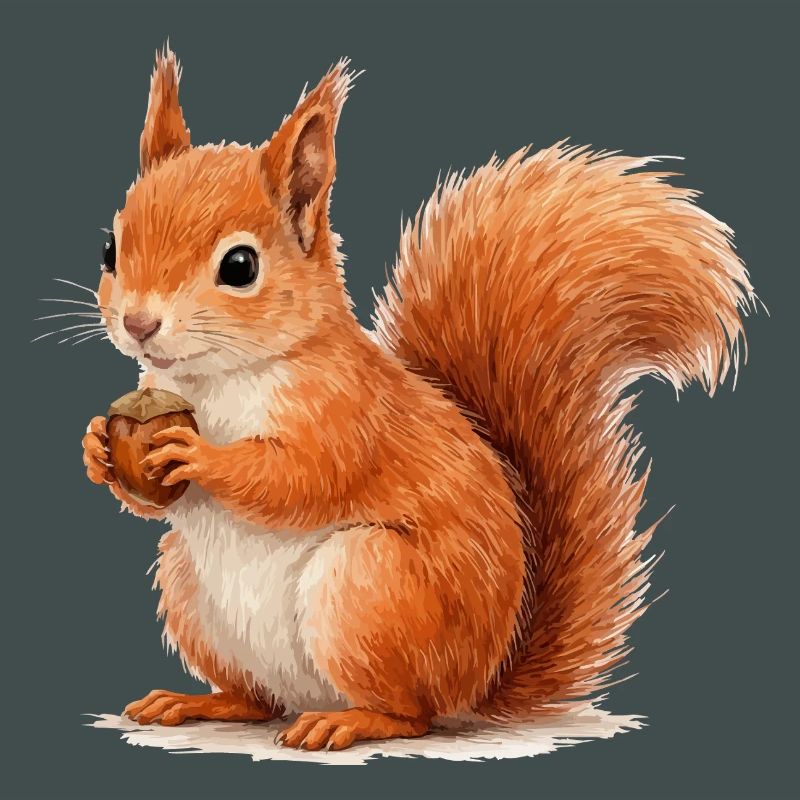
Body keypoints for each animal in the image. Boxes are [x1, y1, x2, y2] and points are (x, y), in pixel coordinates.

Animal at [80, 47, 755, 751]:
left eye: (240, 266)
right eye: (110, 248)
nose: (138, 323)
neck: (216, 379)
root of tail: (477, 686)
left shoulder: (348, 411)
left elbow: (300, 477)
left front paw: (200, 455)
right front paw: (97, 448)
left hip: (369, 587)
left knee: (411, 714)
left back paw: (347, 721)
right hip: (189, 588)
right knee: (257, 699)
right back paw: (199, 702)